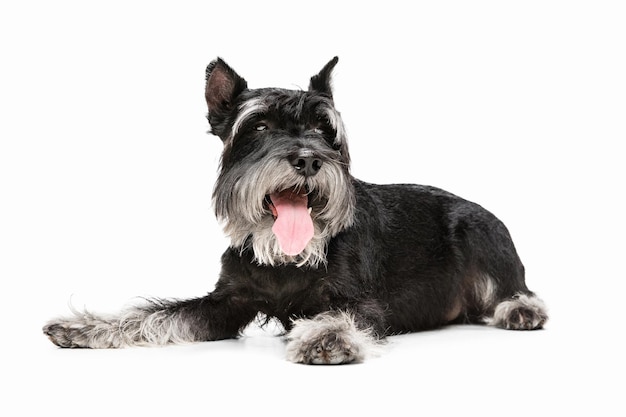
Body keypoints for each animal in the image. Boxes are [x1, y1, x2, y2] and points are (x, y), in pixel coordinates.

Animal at [42, 56, 544, 364]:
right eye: (259, 126)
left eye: (325, 130)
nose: (307, 159)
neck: (285, 256)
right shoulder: (226, 302)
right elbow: (157, 316)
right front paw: (87, 327)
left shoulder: (361, 302)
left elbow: (342, 315)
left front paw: (325, 336)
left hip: (478, 229)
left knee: (516, 288)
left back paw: (521, 310)